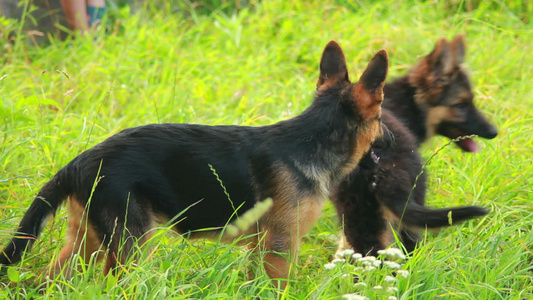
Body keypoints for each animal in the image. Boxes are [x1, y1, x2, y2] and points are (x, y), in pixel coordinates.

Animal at [1, 40, 390, 286]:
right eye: (380, 117)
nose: (391, 140)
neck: (313, 138)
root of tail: (79, 162)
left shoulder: (262, 248)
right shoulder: (279, 246)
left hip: (88, 240)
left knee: (51, 280)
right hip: (130, 243)